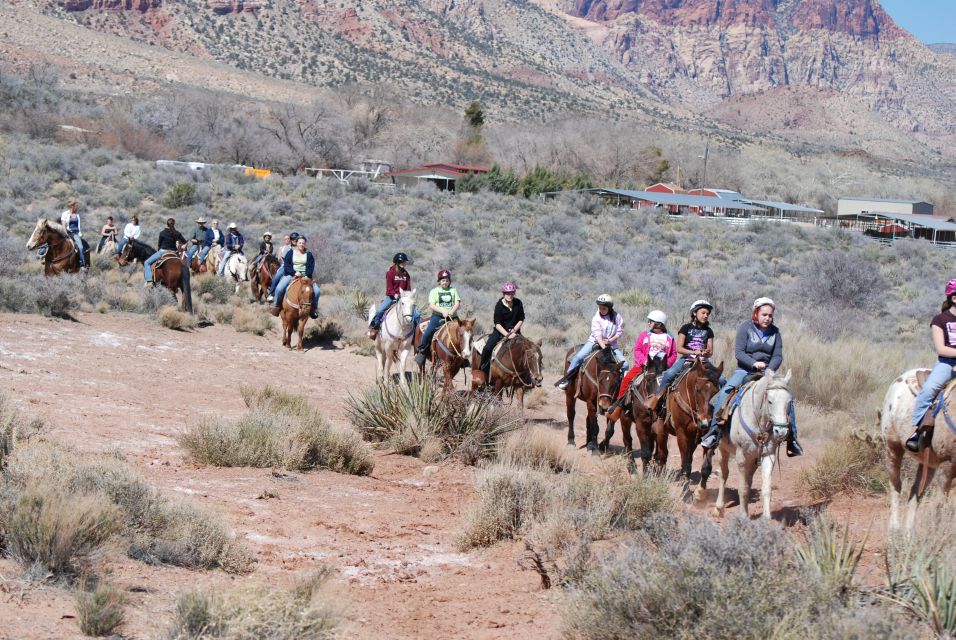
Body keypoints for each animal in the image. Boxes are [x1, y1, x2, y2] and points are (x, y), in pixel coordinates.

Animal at [704, 370, 796, 520]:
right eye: (770, 401)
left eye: (789, 402)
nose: (781, 431)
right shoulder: (741, 457)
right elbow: (743, 488)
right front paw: (742, 515)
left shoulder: (768, 455)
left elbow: (766, 488)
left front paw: (766, 518)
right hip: (723, 450)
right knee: (724, 475)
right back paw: (718, 508)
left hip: (753, 459)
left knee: (748, 479)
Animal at [880, 368, 956, 532]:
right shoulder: (947, 465)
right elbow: (940, 507)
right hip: (892, 447)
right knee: (895, 485)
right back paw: (894, 529)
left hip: (928, 462)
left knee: (915, 493)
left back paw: (909, 533)